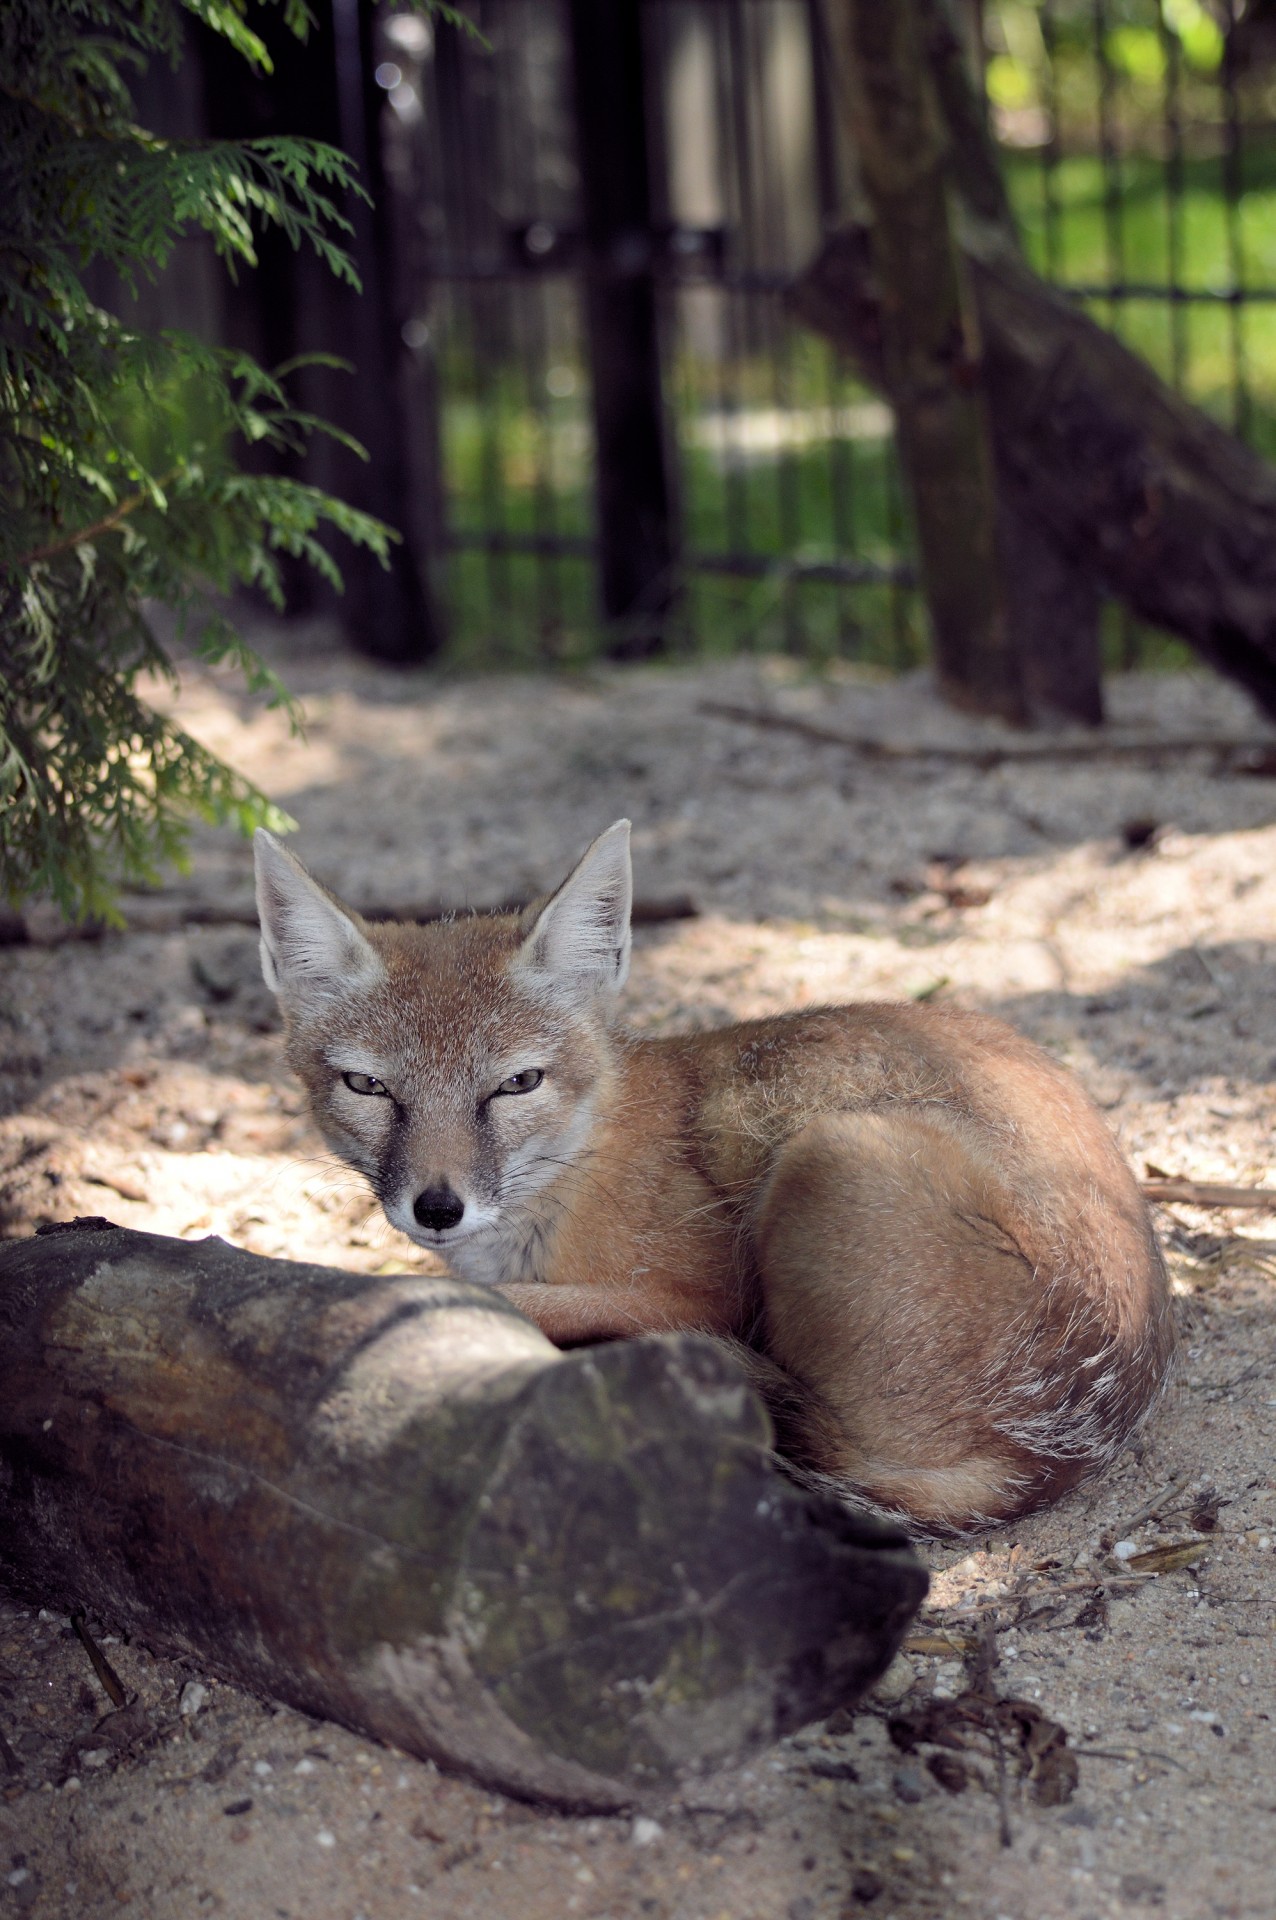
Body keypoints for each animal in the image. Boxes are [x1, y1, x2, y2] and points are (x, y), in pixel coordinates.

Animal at [257, 817, 1174, 1536]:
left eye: (517, 1083)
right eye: (369, 1087)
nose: (438, 1207)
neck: (581, 1165)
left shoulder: (700, 1296)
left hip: (829, 1152)